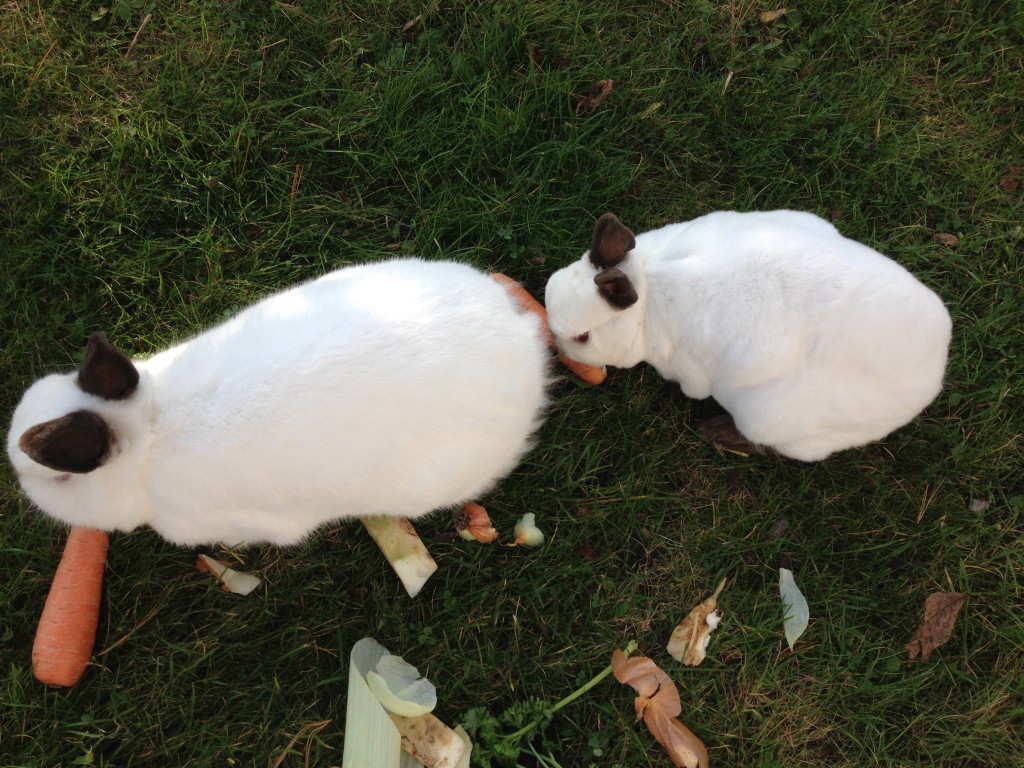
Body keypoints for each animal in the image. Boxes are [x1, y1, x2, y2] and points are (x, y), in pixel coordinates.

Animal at [544, 208, 950, 462]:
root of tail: (933, 373)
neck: (650, 288)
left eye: (582, 337)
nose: (558, 347)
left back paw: (714, 431)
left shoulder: (689, 369)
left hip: (768, 416)